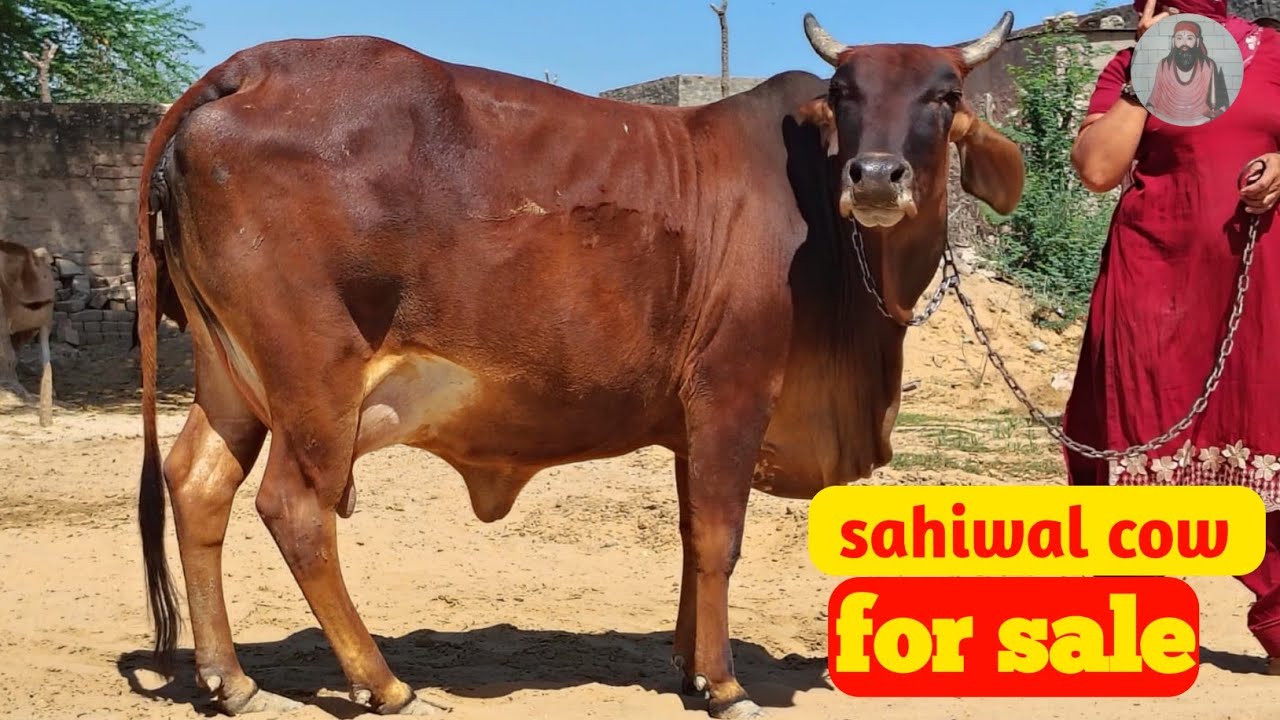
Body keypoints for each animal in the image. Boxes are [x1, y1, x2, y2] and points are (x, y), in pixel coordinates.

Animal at [133, 11, 1024, 718]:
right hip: (316, 383)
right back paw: (383, 683)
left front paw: (688, 667)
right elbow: (720, 537)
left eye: (945, 95)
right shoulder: (732, 393)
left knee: (198, 485)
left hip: (230, 378)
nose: (874, 176)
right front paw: (725, 685)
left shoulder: (689, 420)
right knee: (294, 509)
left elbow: (690, 535)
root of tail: (245, 71)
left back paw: (230, 679)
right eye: (845, 93)